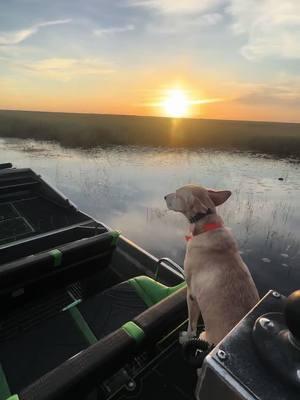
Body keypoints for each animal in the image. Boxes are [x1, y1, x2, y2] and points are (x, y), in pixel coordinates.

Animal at [163, 184, 258, 344]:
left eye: (177, 194)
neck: (206, 227)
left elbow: (191, 325)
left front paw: (186, 337)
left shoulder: (191, 295)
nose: (164, 197)